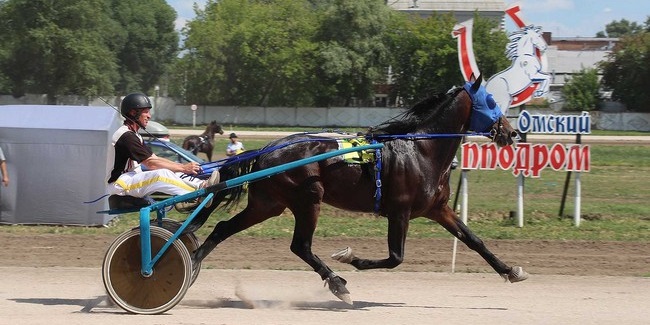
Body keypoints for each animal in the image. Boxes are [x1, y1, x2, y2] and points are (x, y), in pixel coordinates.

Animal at [186, 76, 520, 304]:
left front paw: (510, 270)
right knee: (300, 246)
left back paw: (192, 263)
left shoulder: (438, 209)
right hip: (308, 198)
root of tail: (266, 149)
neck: (422, 150)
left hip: (268, 203)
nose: (512, 132)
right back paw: (338, 284)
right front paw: (351, 258)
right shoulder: (399, 211)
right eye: (492, 102)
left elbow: (474, 240)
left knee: (223, 227)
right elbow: (395, 258)